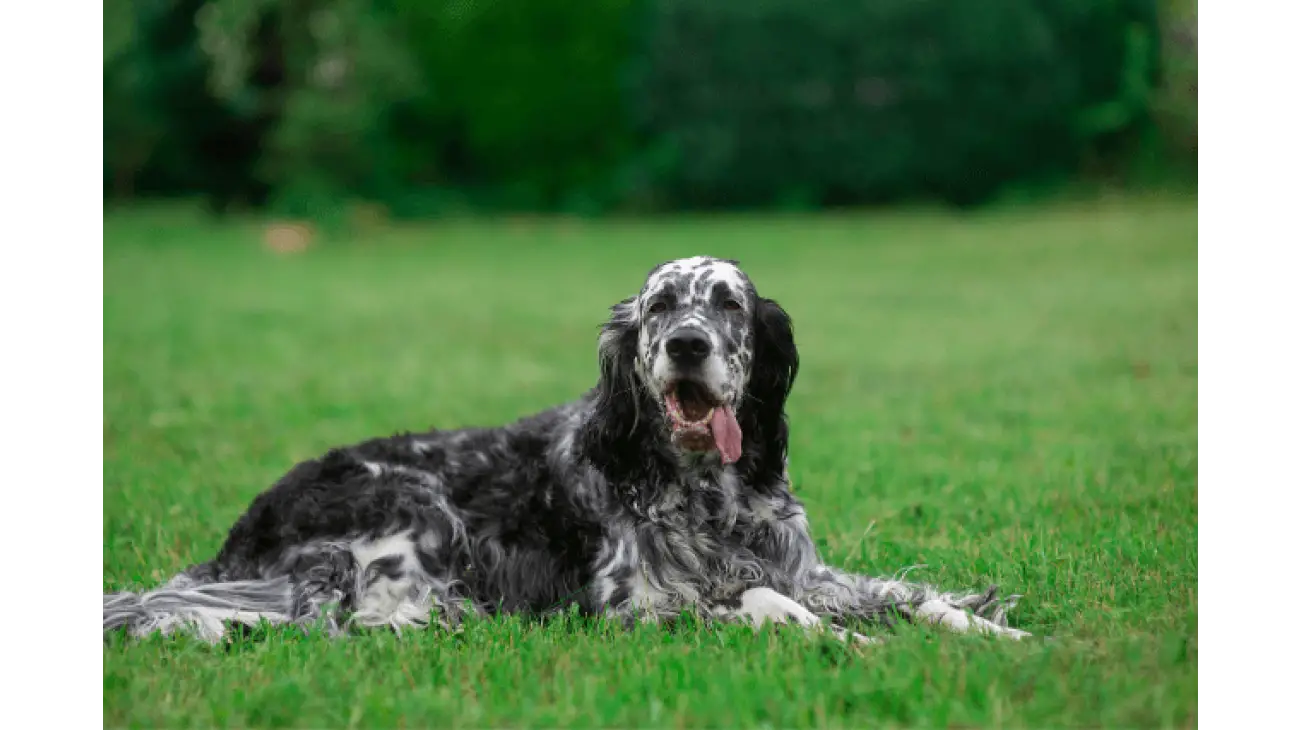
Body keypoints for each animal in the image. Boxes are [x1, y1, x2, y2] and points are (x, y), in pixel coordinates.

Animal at [101, 255, 1029, 641]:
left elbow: (909, 597)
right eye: (660, 306)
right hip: (415, 511)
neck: (707, 495)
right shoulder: (632, 604)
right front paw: (840, 642)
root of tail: (243, 532)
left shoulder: (809, 570)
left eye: (727, 303)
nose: (686, 344)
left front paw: (995, 632)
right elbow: (767, 608)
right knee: (363, 616)